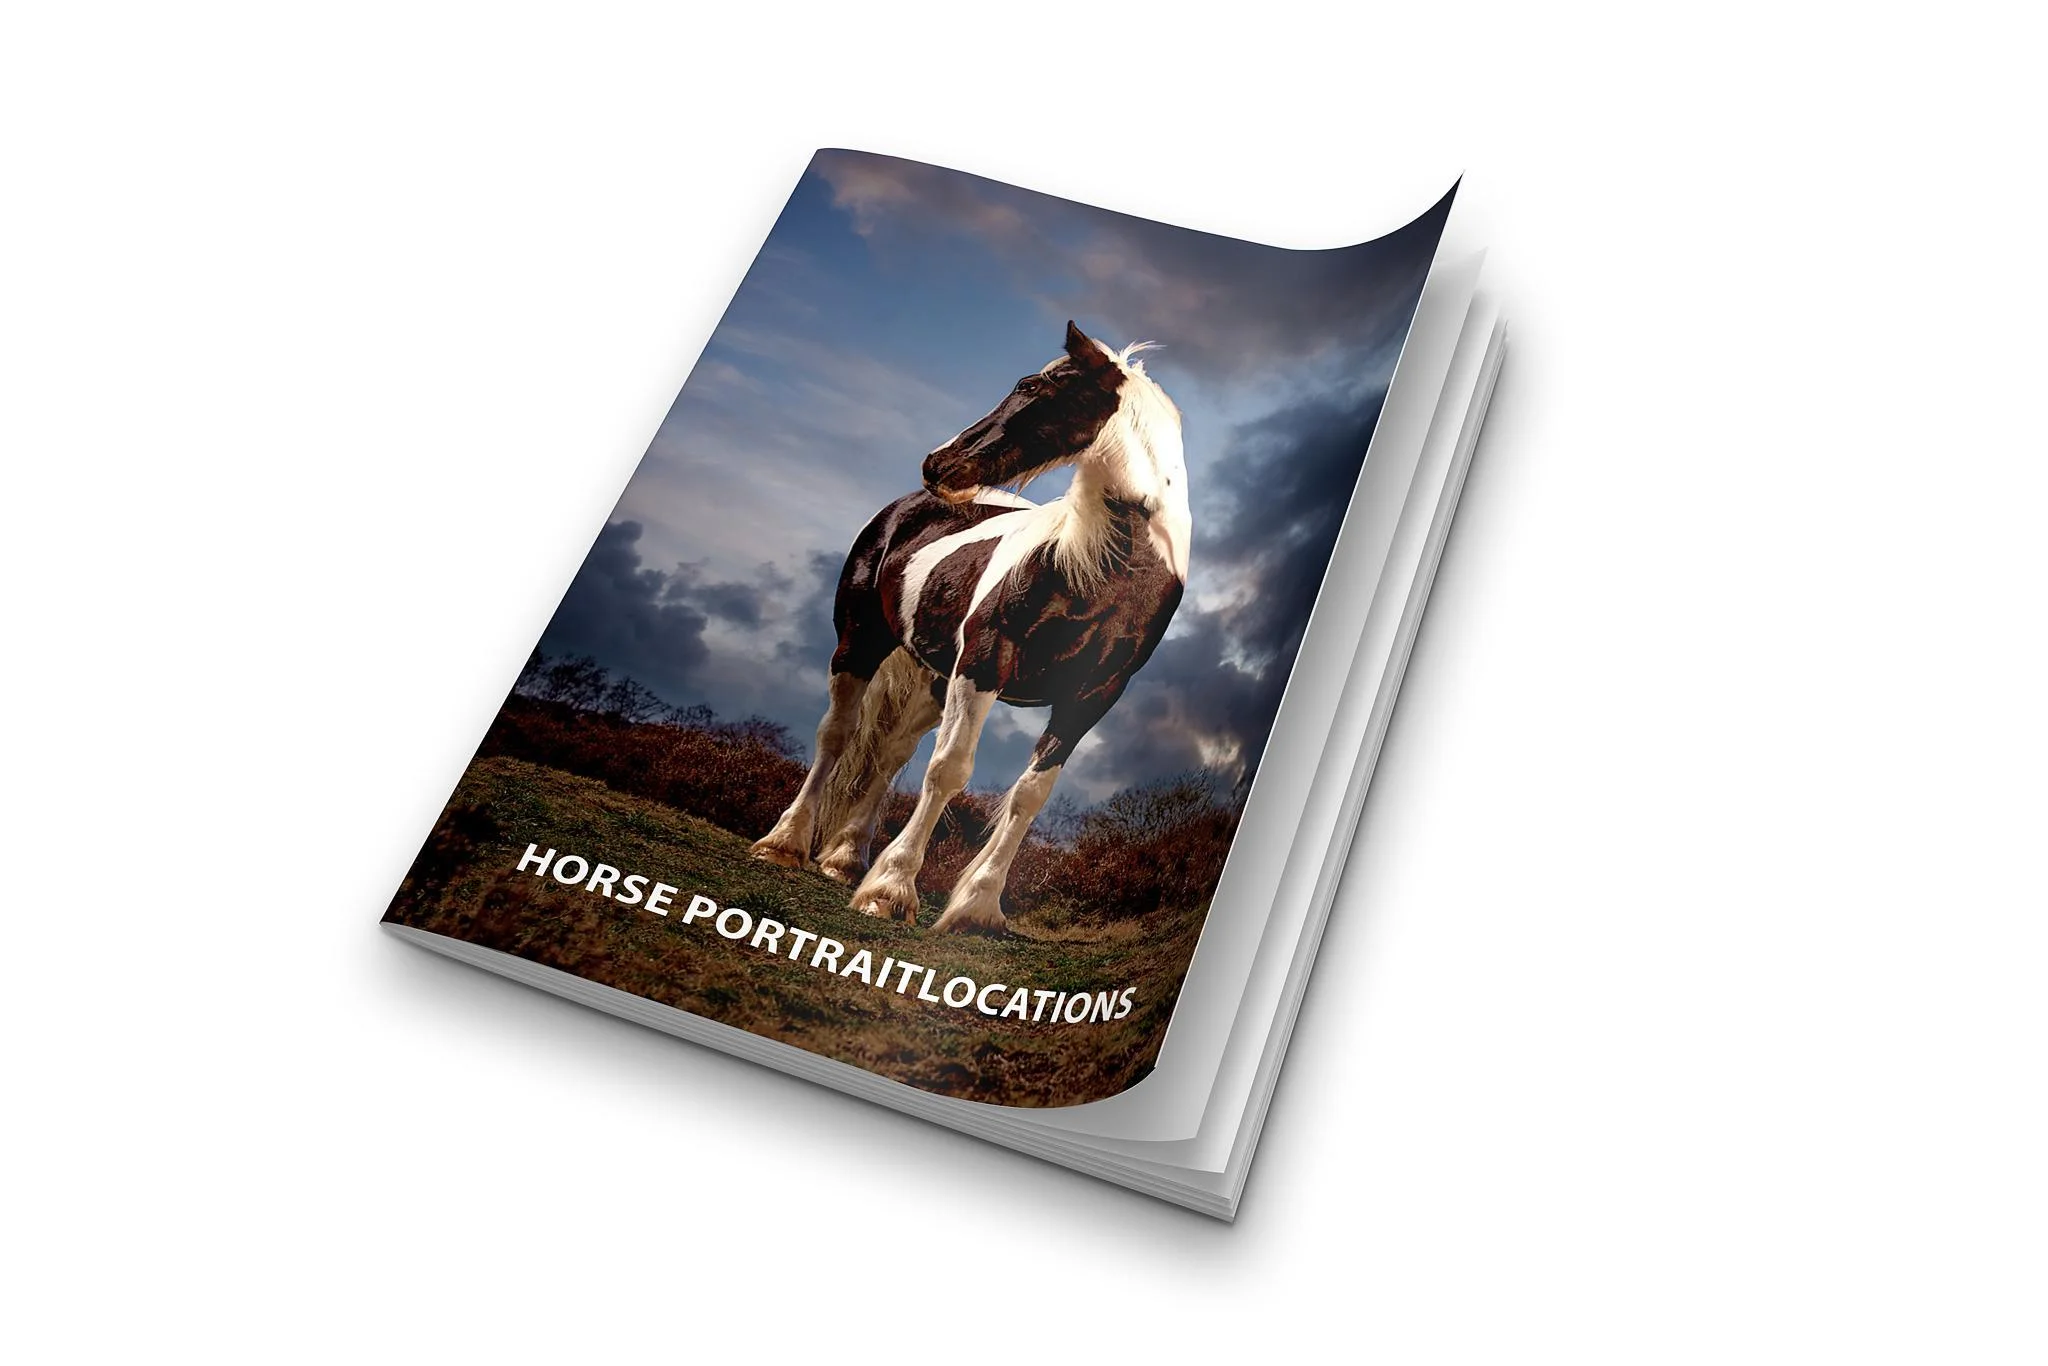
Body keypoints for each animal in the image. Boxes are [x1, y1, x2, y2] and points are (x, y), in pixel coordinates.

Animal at [749, 321, 1190, 934]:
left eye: (1031, 385)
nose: (939, 463)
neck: (1107, 570)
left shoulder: (1092, 696)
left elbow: (1030, 795)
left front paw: (976, 907)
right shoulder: (984, 663)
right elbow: (948, 771)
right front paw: (891, 891)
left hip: (935, 677)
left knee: (888, 755)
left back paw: (845, 860)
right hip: (860, 645)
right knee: (836, 734)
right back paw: (785, 844)